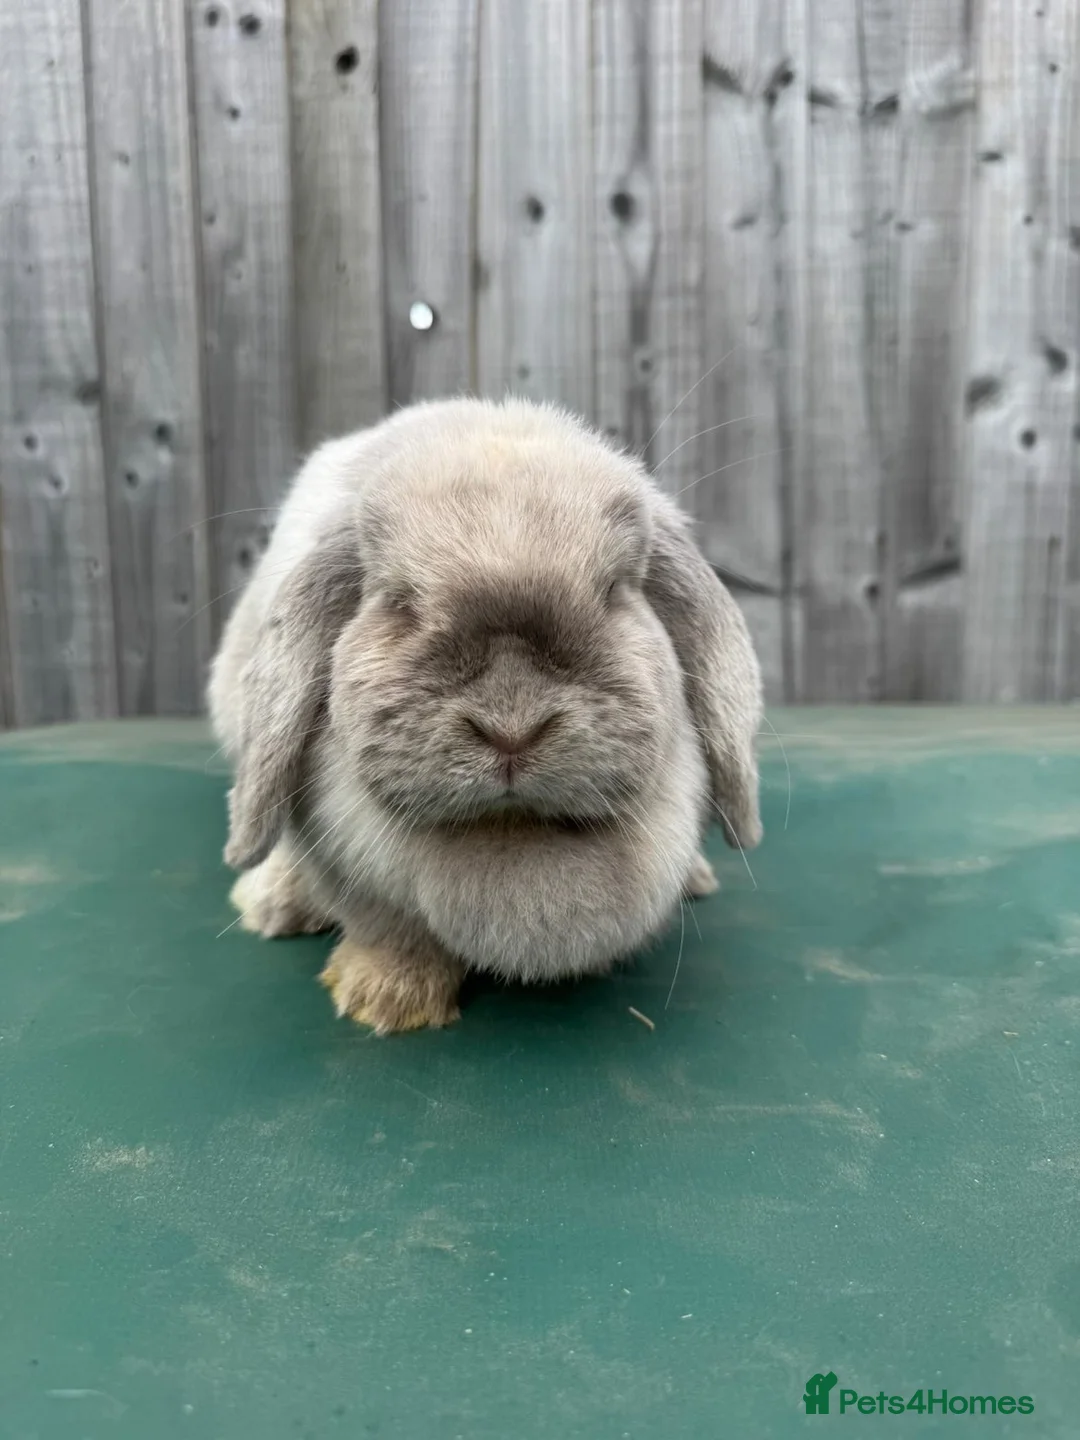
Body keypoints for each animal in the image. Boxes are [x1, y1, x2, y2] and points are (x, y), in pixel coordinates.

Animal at [208, 396, 763, 1033]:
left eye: (614, 592)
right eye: (400, 601)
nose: (512, 729)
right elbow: (386, 931)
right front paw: (387, 1000)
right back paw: (274, 904)